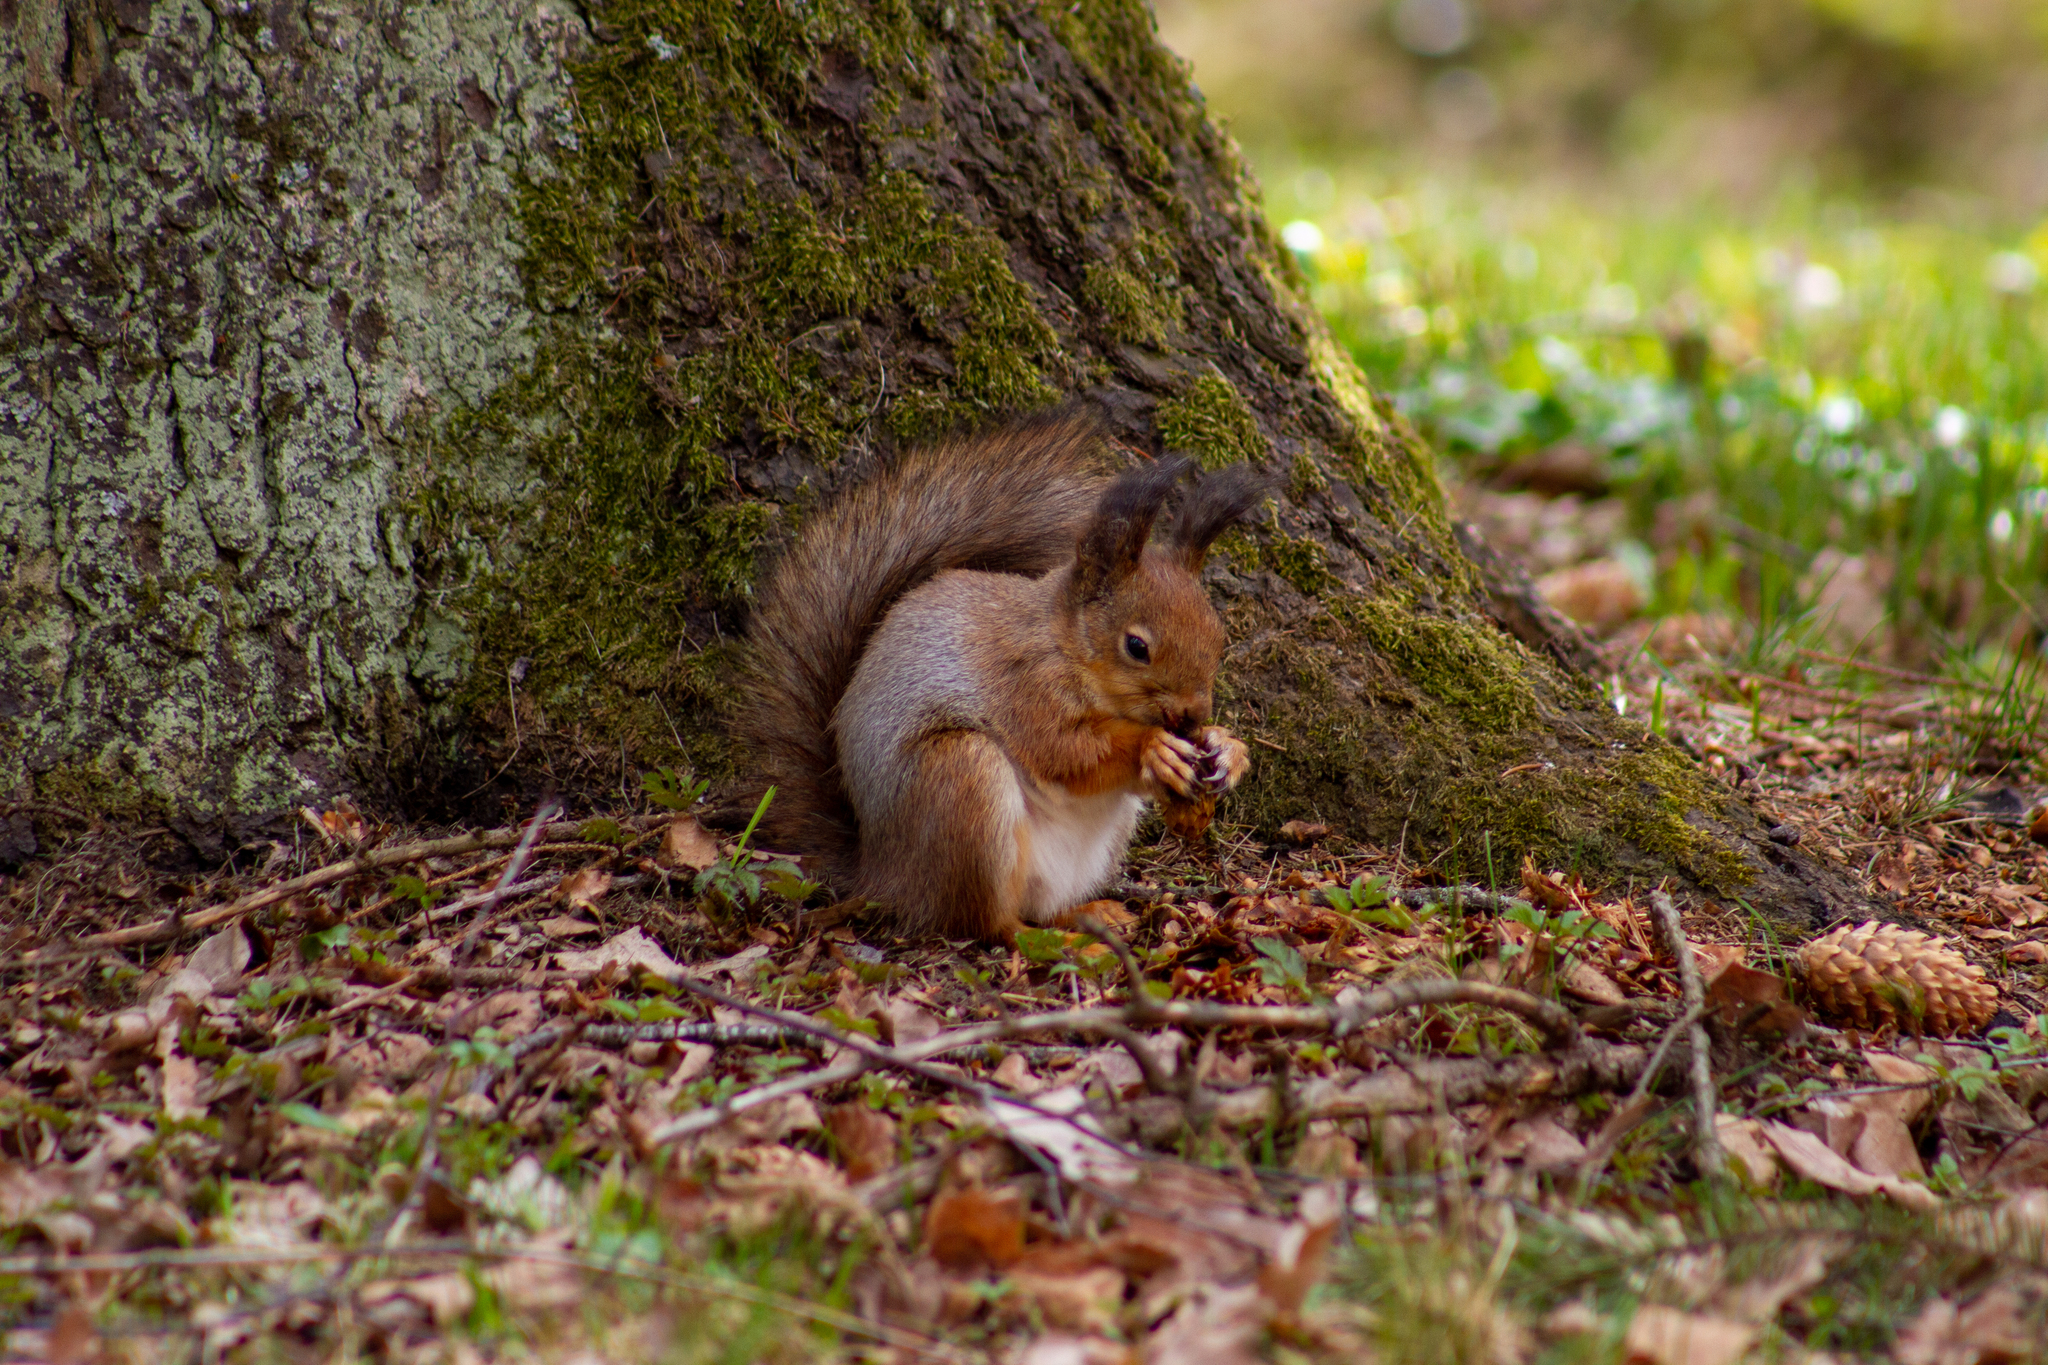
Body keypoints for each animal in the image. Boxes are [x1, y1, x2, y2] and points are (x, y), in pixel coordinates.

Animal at [745, 409, 1261, 941]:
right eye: (1137, 647)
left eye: (1218, 635)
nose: (1195, 714)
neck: (1068, 647)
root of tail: (884, 873)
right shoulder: (1024, 685)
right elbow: (1067, 752)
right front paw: (1153, 747)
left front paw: (1228, 748)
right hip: (962, 781)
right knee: (989, 924)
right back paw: (1061, 940)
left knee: (1040, 906)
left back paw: (1092, 915)